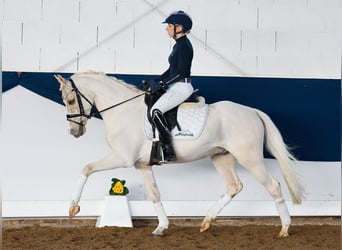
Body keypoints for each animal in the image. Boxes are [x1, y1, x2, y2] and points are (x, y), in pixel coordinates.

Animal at [54, 72, 304, 236]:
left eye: (70, 100)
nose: (74, 132)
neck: (123, 110)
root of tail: (252, 111)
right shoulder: (142, 165)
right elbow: (155, 194)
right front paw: (161, 227)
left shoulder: (122, 158)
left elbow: (86, 168)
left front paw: (73, 207)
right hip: (221, 157)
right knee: (234, 186)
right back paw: (206, 221)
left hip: (250, 158)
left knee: (273, 186)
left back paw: (284, 229)